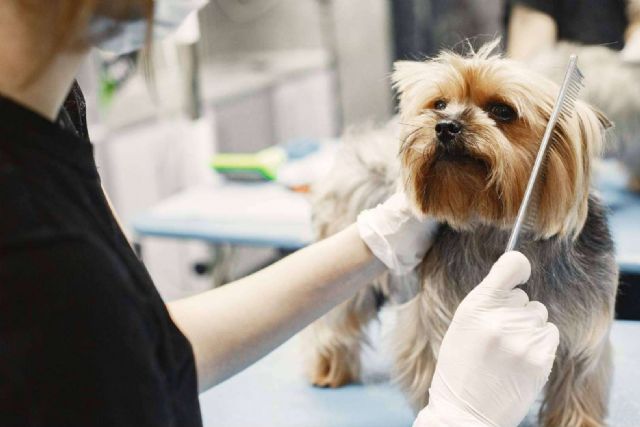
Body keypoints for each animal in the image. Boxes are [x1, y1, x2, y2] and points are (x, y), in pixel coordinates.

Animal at [308, 41, 616, 427]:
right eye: (439, 104)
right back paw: (329, 368)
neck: (495, 227)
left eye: (502, 110)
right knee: (335, 320)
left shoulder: (583, 330)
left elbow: (578, 385)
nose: (445, 126)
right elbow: (437, 366)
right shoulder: (440, 318)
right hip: (345, 270)